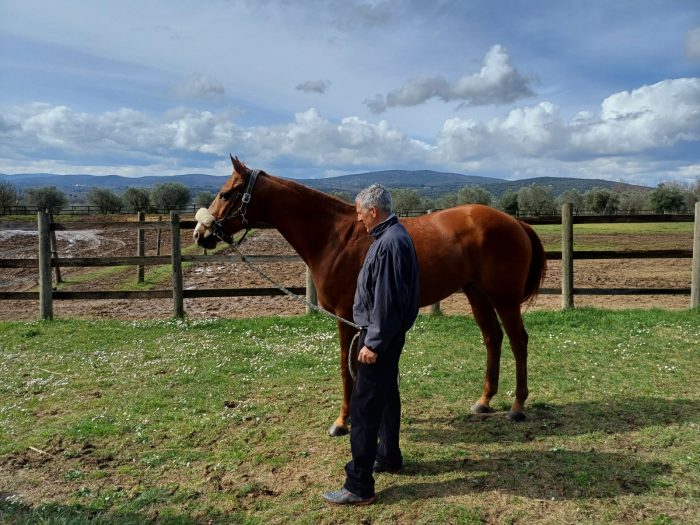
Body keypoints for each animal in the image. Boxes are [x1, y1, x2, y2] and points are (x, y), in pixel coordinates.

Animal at [193, 155, 547, 436]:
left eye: (226, 194)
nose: (200, 234)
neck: (336, 236)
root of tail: (515, 222)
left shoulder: (345, 317)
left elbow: (345, 368)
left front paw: (342, 421)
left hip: (504, 298)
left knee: (518, 341)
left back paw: (517, 406)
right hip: (477, 294)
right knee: (492, 338)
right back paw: (484, 401)